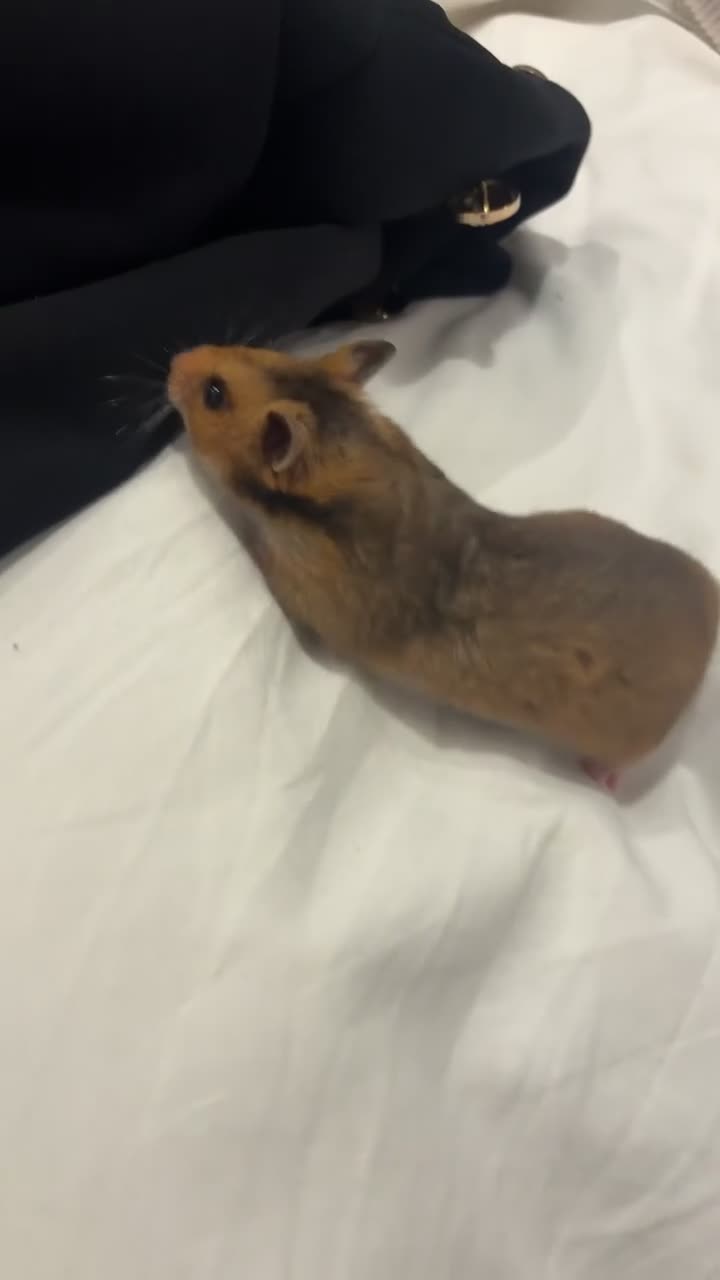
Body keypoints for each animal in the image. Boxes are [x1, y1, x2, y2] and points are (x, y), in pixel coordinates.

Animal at [167, 340, 718, 789]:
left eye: (214, 394)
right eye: (260, 350)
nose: (173, 360)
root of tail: (711, 605)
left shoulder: (306, 592)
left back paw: (599, 777)